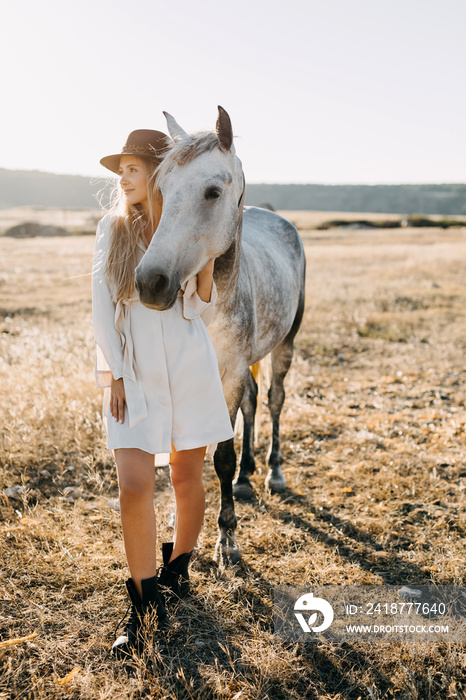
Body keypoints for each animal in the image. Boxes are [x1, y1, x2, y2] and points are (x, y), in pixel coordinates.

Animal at [134, 106, 306, 564]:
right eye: (162, 188)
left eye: (212, 191)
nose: (150, 282)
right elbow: (186, 455)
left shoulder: (228, 375)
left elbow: (222, 456)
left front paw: (226, 539)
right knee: (253, 402)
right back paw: (247, 477)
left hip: (284, 344)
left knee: (274, 399)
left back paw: (272, 471)